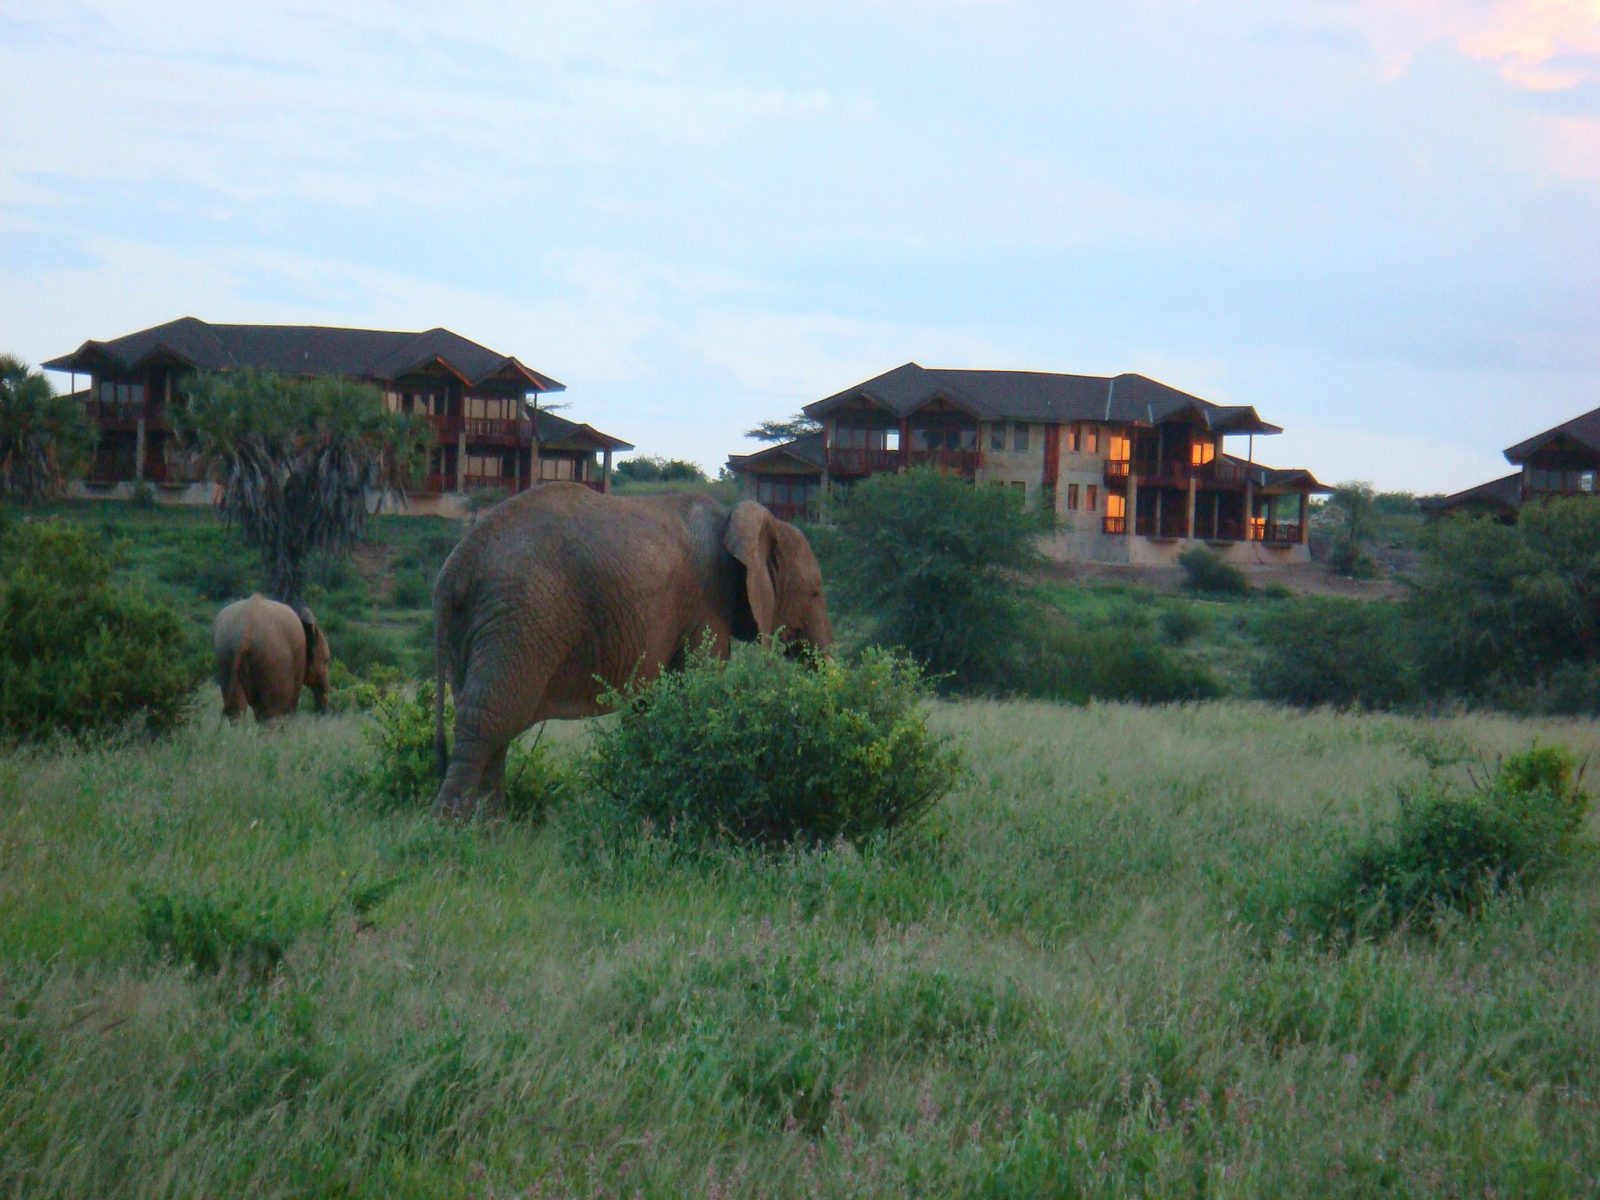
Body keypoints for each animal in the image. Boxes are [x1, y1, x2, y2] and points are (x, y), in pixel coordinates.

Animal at [435, 483, 838, 825]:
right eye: (815, 592)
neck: (740, 519)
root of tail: (455, 568)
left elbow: (652, 703)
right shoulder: (708, 601)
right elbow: (698, 684)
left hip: (479, 624)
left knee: (492, 717)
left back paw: (490, 830)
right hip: (522, 617)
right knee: (489, 715)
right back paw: (451, 828)